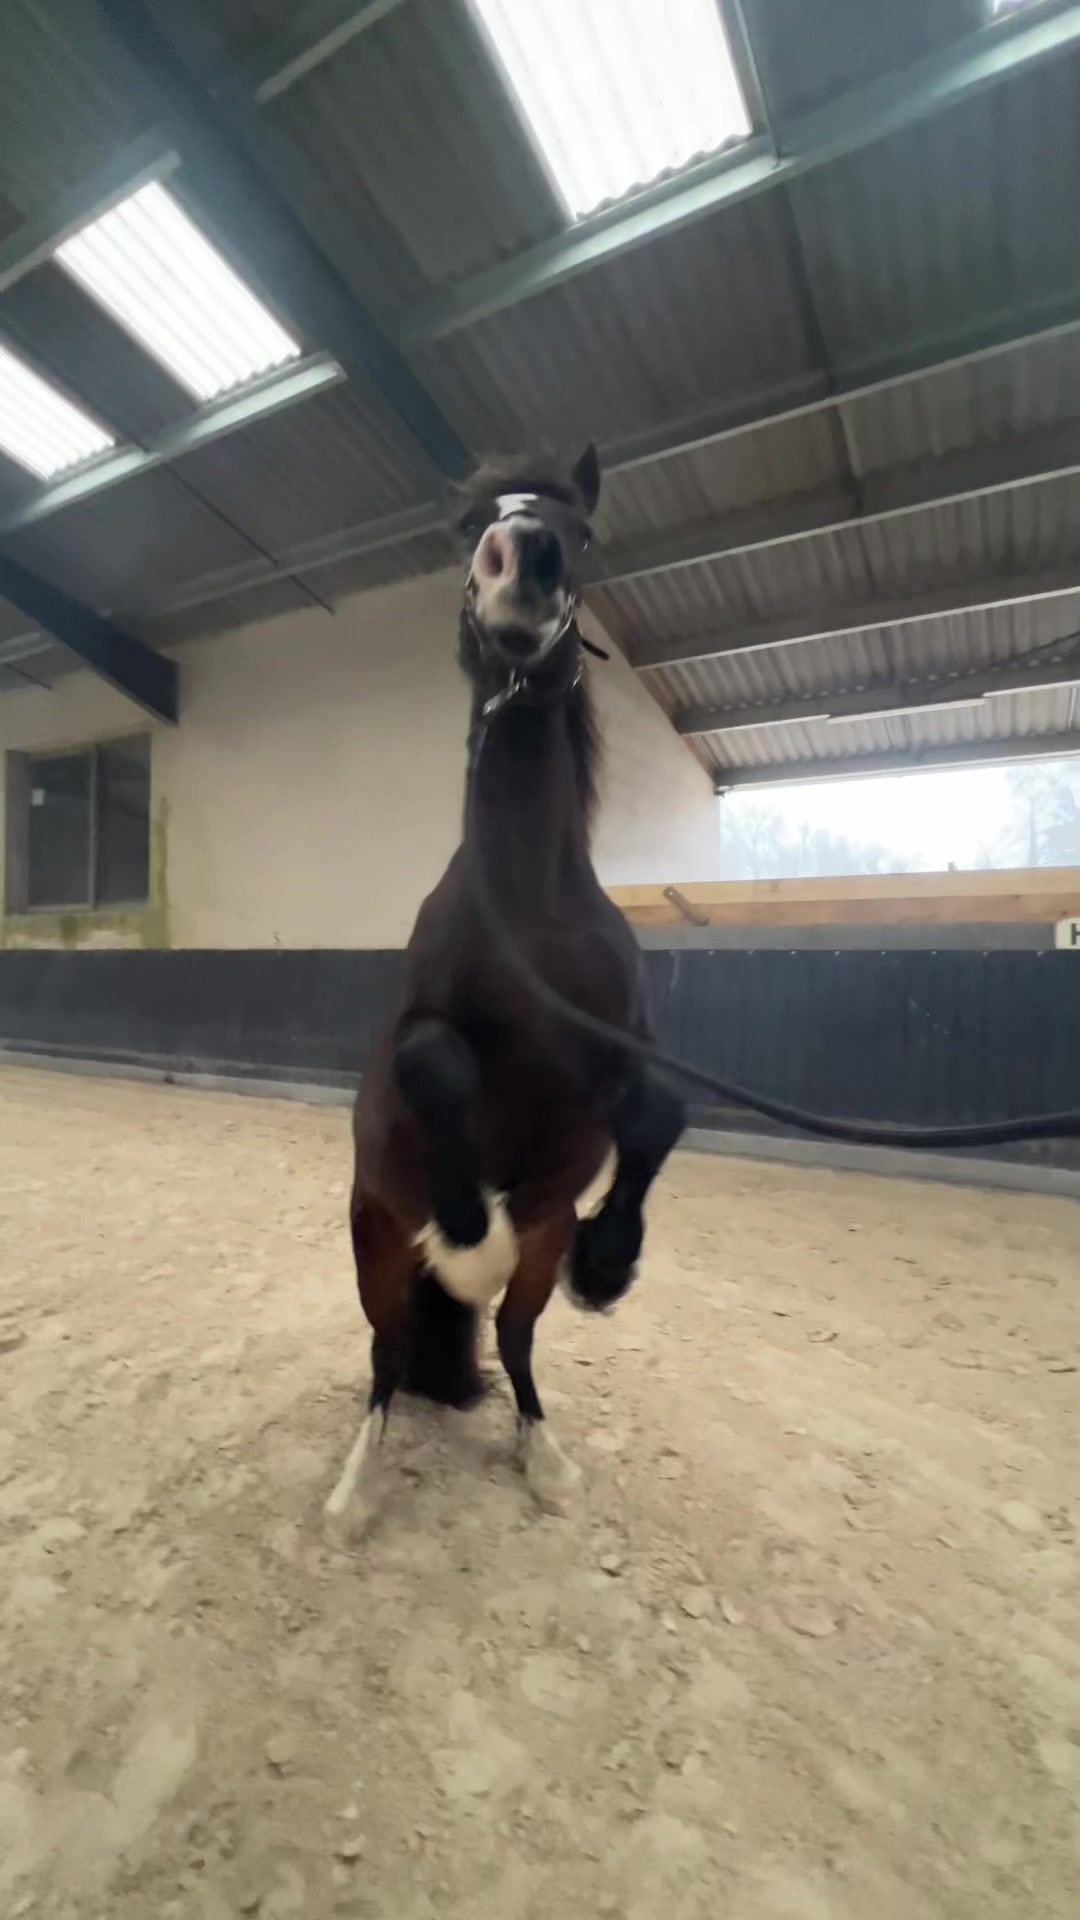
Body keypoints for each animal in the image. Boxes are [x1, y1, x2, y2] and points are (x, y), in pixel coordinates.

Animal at [325, 443, 685, 1538]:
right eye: (463, 528)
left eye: (585, 531)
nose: (520, 556)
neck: (531, 910)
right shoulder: (420, 1027)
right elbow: (436, 1061)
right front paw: (467, 1227)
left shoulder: (622, 1049)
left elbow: (661, 1107)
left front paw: (610, 1261)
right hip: (373, 1247)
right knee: (388, 1353)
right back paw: (355, 1490)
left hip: (535, 1251)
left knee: (517, 1341)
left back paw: (545, 1458)